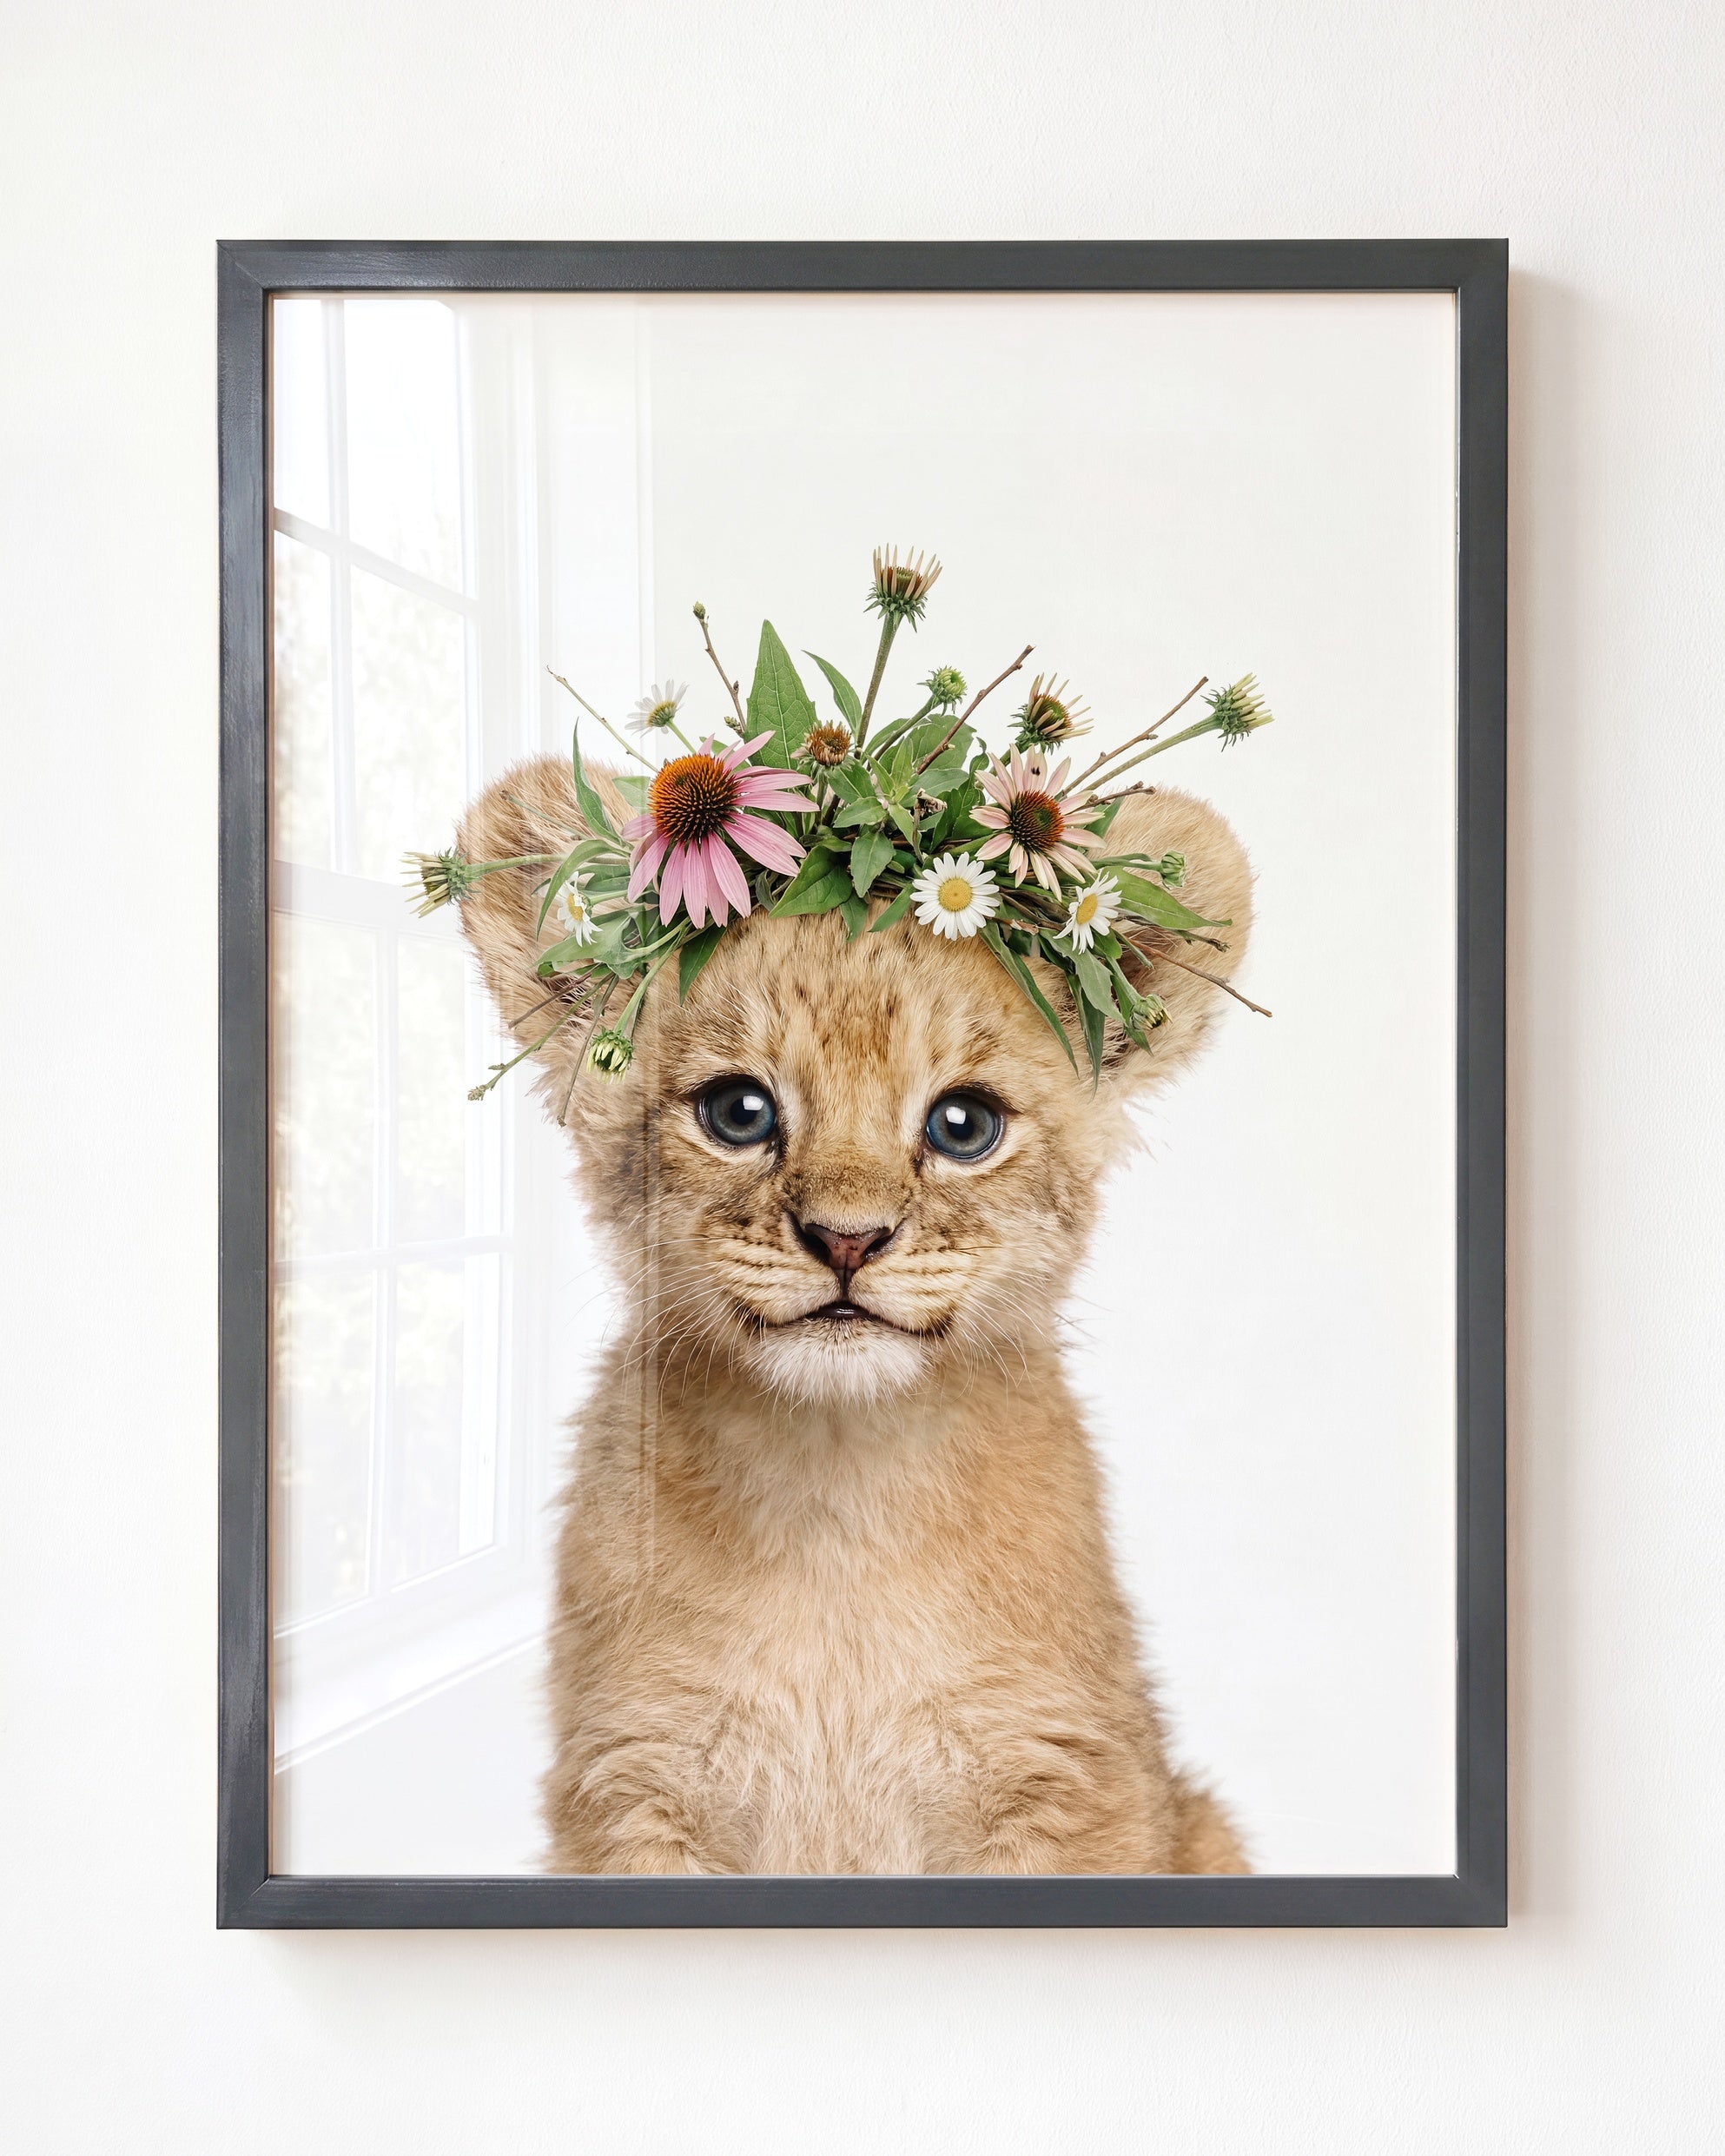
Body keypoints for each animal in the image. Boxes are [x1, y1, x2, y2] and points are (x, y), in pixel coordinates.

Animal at [457, 755, 1252, 1876]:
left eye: (963, 1125)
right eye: (738, 1112)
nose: (846, 1240)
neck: (837, 1499)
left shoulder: (1065, 1779)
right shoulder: (635, 1783)